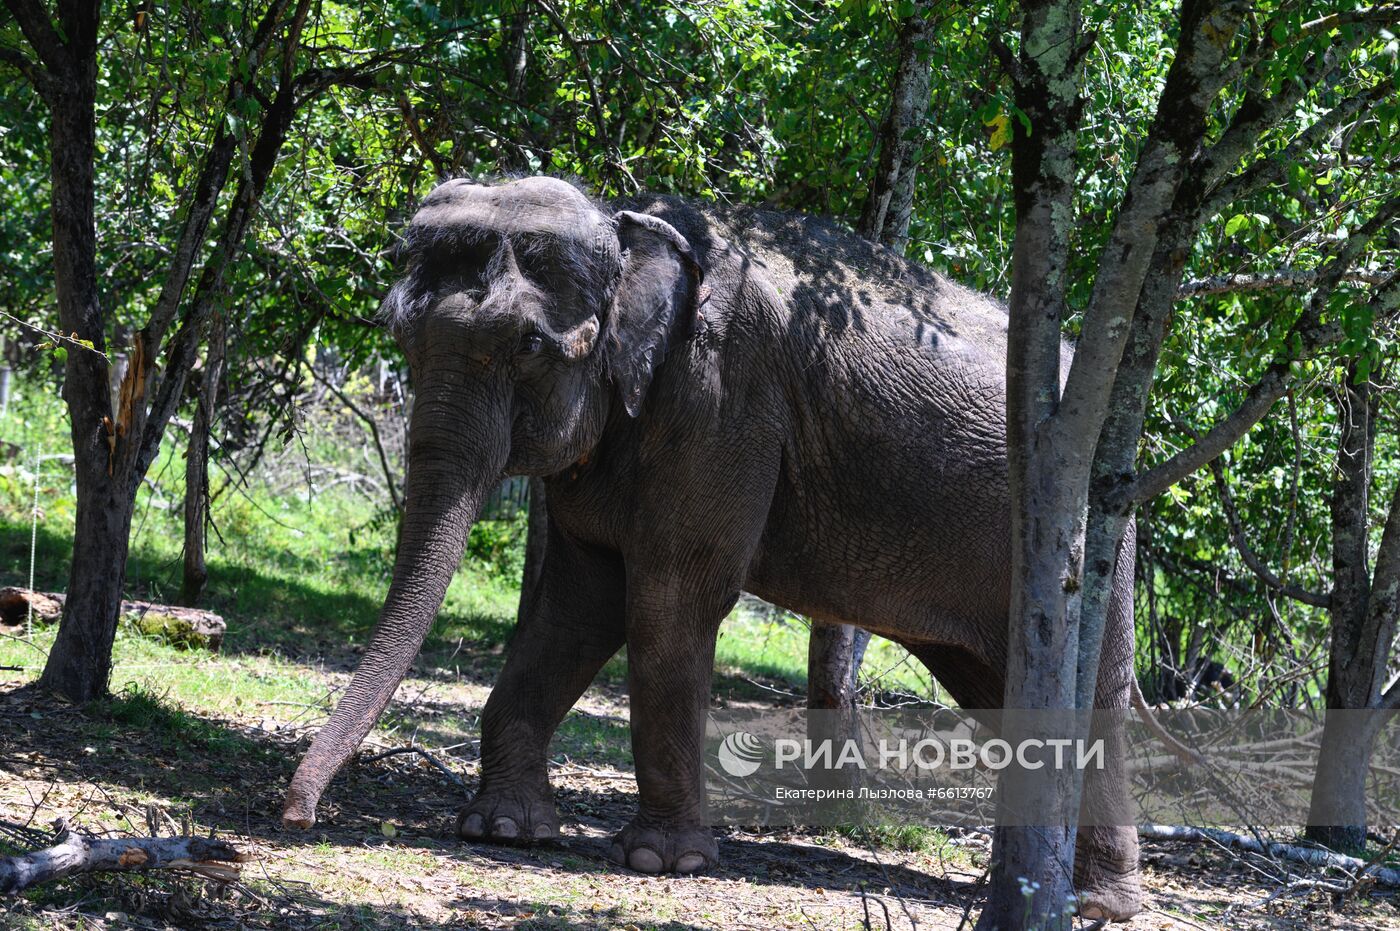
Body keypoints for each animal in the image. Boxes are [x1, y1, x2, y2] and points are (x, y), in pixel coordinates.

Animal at [281, 176, 1148, 924]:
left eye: (528, 344)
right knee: (999, 685)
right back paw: (1034, 884)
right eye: (397, 331)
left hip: (1090, 537)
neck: (628, 226)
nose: (297, 814)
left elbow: (672, 598)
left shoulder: (723, 398)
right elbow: (577, 604)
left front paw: (663, 862)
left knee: (1091, 690)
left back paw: (1093, 903)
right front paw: (503, 828)